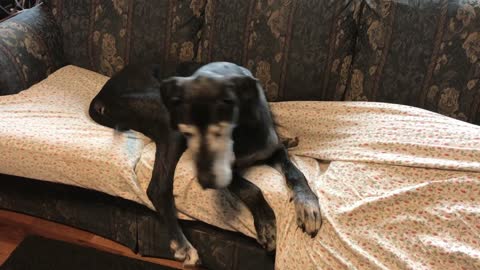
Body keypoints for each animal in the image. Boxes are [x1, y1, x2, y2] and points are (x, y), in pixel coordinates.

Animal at [90, 61, 322, 266]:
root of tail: (100, 97)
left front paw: (308, 205)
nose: (205, 181)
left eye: (220, 128)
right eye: (191, 130)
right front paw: (267, 227)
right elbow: (251, 190)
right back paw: (183, 246)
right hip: (167, 122)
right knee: (157, 188)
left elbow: (296, 174)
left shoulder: (272, 150)